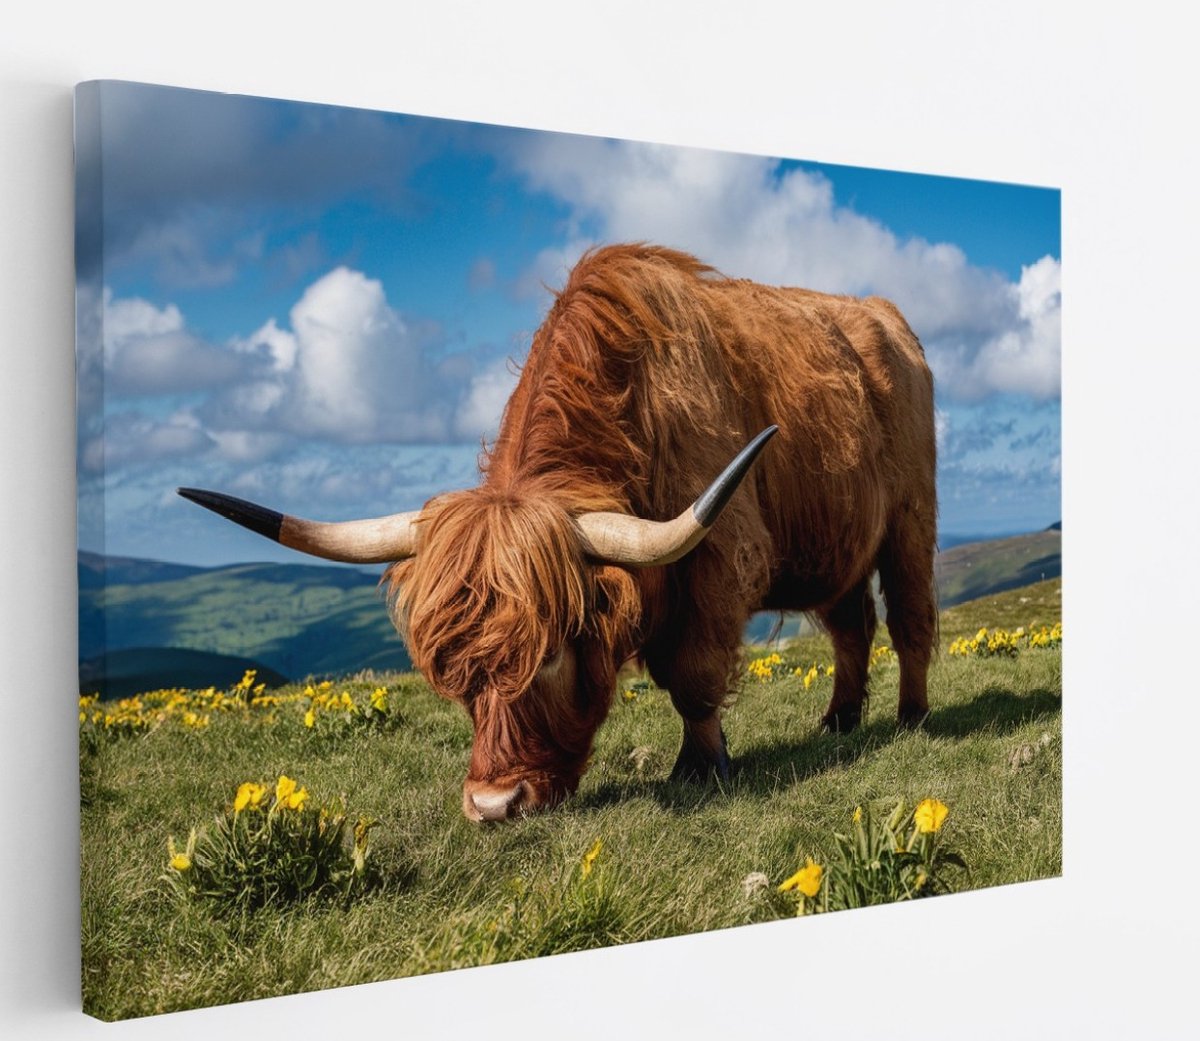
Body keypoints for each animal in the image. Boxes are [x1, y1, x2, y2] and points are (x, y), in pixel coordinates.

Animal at [180, 244, 937, 822]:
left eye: (546, 656)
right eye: (455, 676)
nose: (492, 805)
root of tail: (882, 314)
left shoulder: (720, 559)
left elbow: (692, 677)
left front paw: (701, 766)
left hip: (910, 519)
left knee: (909, 620)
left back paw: (912, 717)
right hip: (838, 543)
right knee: (850, 625)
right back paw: (839, 719)